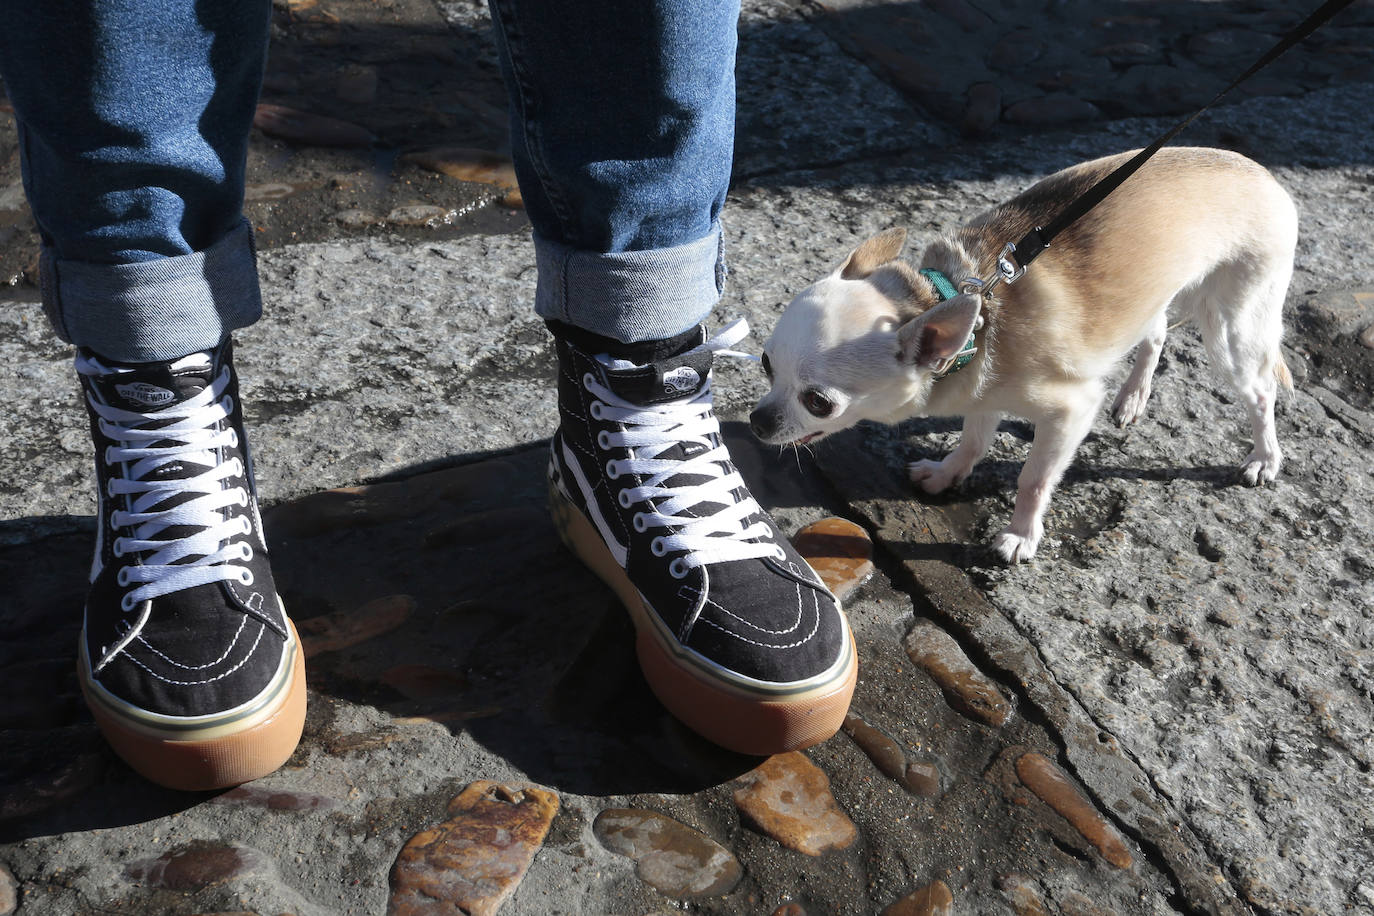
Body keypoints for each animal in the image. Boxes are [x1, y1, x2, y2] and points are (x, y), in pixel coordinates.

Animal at [752, 146, 1297, 563]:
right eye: (765, 364)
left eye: (819, 402)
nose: (757, 421)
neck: (962, 302)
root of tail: (1266, 175)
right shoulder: (983, 389)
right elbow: (974, 439)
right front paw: (947, 473)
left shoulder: (1070, 412)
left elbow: (1034, 479)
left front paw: (1020, 536)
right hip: (1159, 300)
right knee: (1157, 330)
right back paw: (1133, 396)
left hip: (1232, 332)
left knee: (1261, 391)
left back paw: (1265, 457)